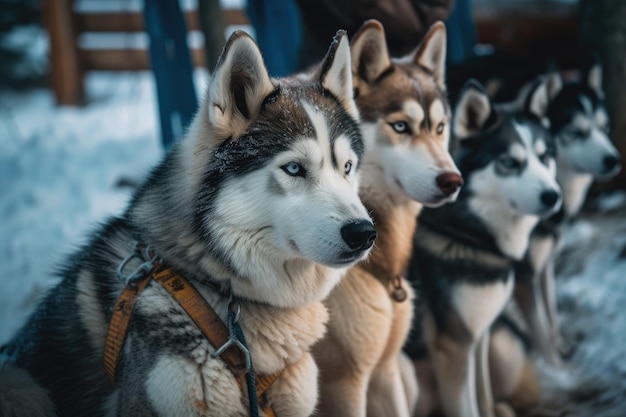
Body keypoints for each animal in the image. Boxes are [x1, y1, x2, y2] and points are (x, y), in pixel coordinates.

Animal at [404, 78, 560, 416]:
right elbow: (467, 406)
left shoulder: (478, 338)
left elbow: (483, 395)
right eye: (510, 163)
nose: (553, 196)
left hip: (503, 345)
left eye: (545, 157)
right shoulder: (454, 347)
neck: (465, 233)